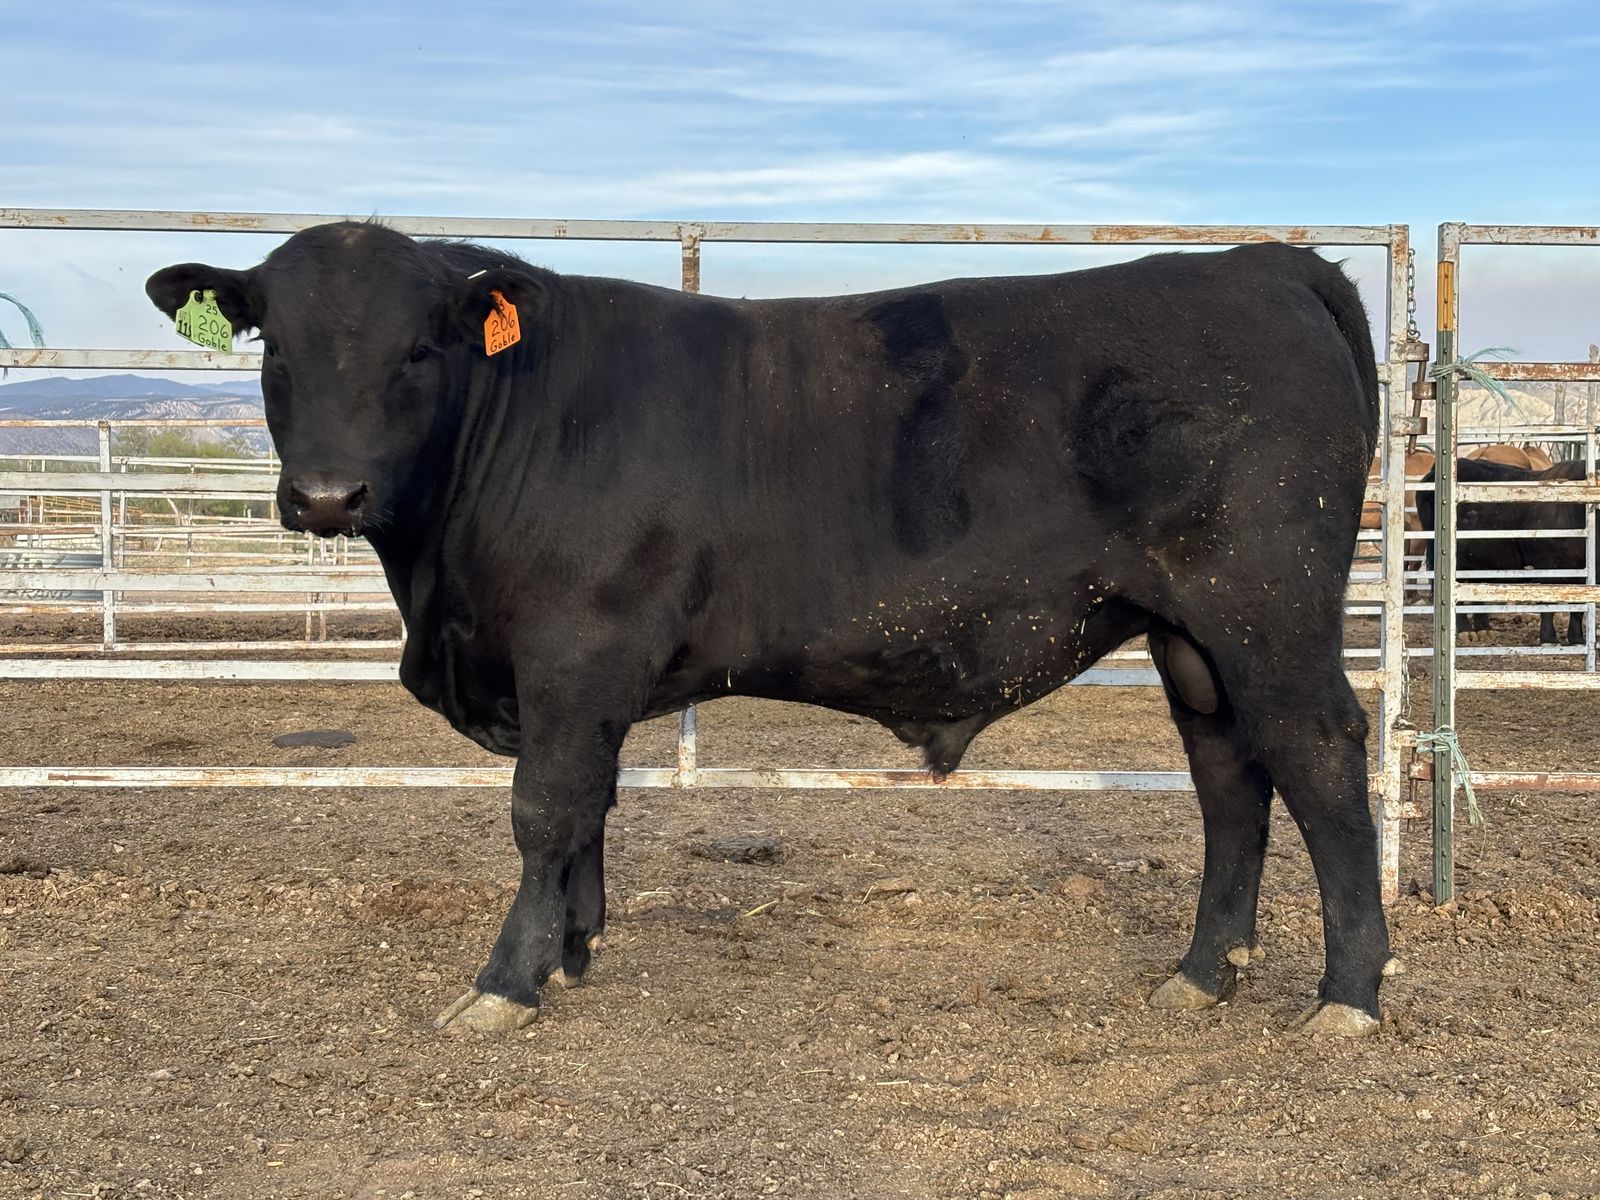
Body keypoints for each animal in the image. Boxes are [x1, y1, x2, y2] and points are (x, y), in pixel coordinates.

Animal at [147, 223, 1395, 1038]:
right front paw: (575, 950)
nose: (327, 497)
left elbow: (544, 809)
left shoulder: (573, 647)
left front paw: (507, 981)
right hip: (1190, 634)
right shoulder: (582, 679)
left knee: (1320, 755)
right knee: (1229, 774)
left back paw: (1347, 994)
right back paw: (1203, 973)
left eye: (419, 349)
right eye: (274, 348)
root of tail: (1255, 262)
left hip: (1266, 606)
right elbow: (591, 804)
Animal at [1416, 457, 1591, 644]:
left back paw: (1483, 629)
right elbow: (1548, 603)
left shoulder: (1581, 568)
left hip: (1479, 559)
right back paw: (1465, 631)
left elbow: (1579, 607)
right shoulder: (1546, 564)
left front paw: (1577, 638)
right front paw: (1549, 639)